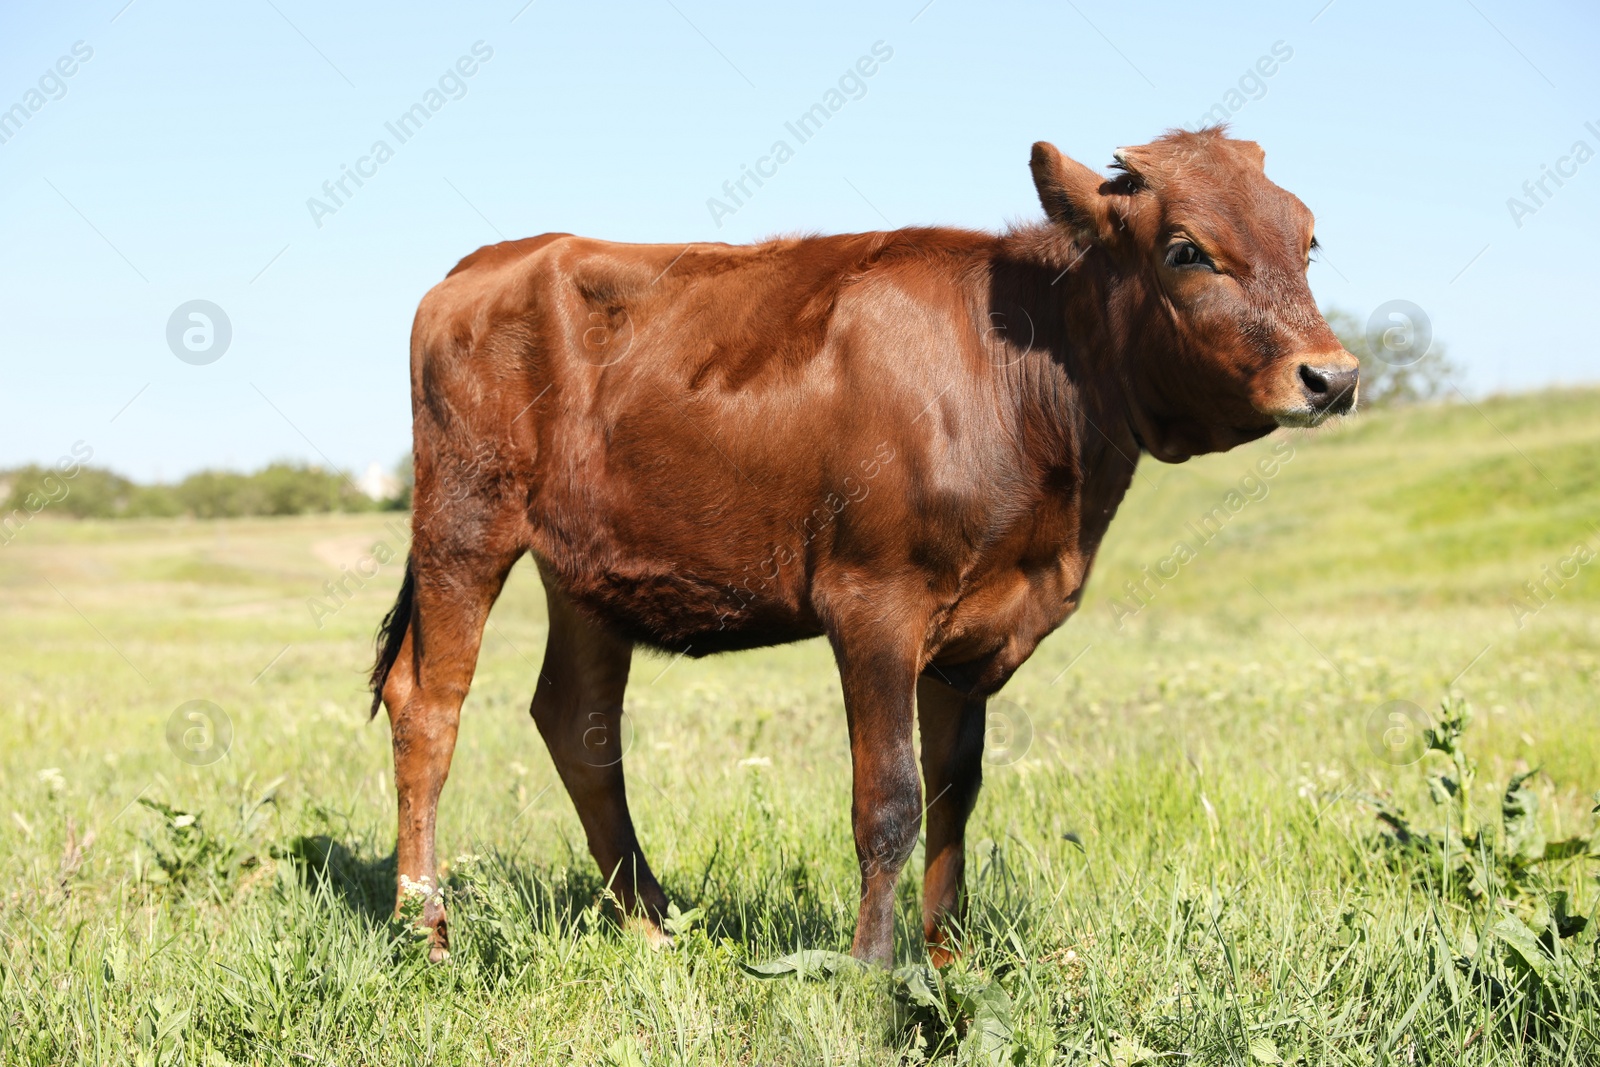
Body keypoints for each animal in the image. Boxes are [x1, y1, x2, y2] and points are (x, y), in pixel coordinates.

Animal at [371, 127, 1350, 966]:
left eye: (1307, 239)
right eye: (1186, 250)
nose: (1332, 376)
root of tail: (491, 260)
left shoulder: (974, 633)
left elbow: (956, 792)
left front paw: (946, 956)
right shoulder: (875, 601)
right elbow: (890, 799)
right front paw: (872, 968)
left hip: (587, 570)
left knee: (577, 720)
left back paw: (650, 926)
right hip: (464, 518)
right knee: (429, 704)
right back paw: (425, 925)